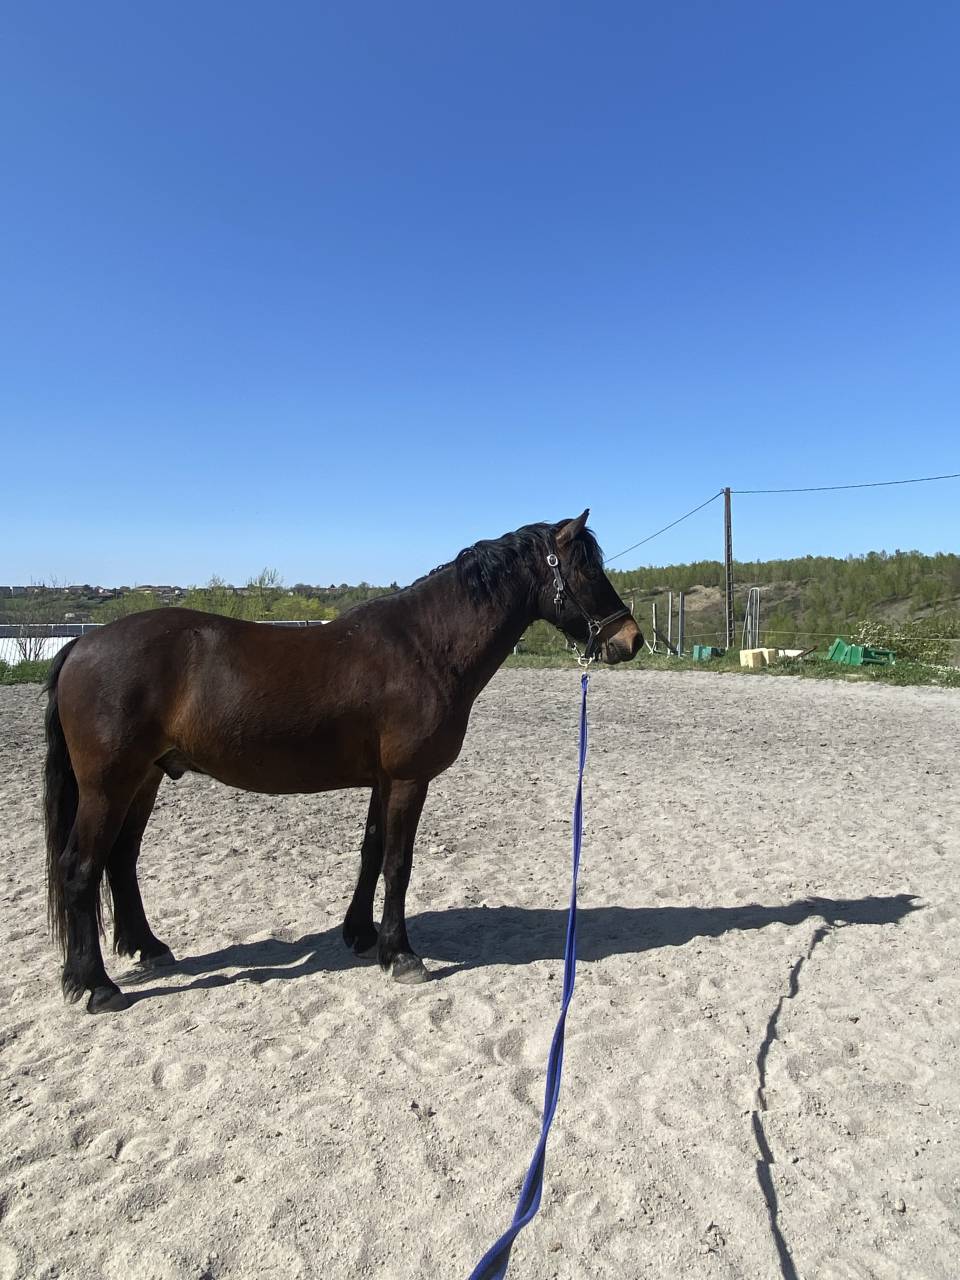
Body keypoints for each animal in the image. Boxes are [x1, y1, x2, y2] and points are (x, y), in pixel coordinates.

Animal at [43, 511, 642, 1013]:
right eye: (586, 568)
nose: (630, 640)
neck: (425, 646)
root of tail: (80, 646)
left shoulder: (383, 780)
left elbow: (371, 853)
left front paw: (361, 935)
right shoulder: (408, 780)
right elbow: (398, 863)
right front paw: (401, 955)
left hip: (143, 780)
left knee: (120, 860)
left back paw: (147, 949)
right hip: (107, 787)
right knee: (80, 868)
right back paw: (96, 986)